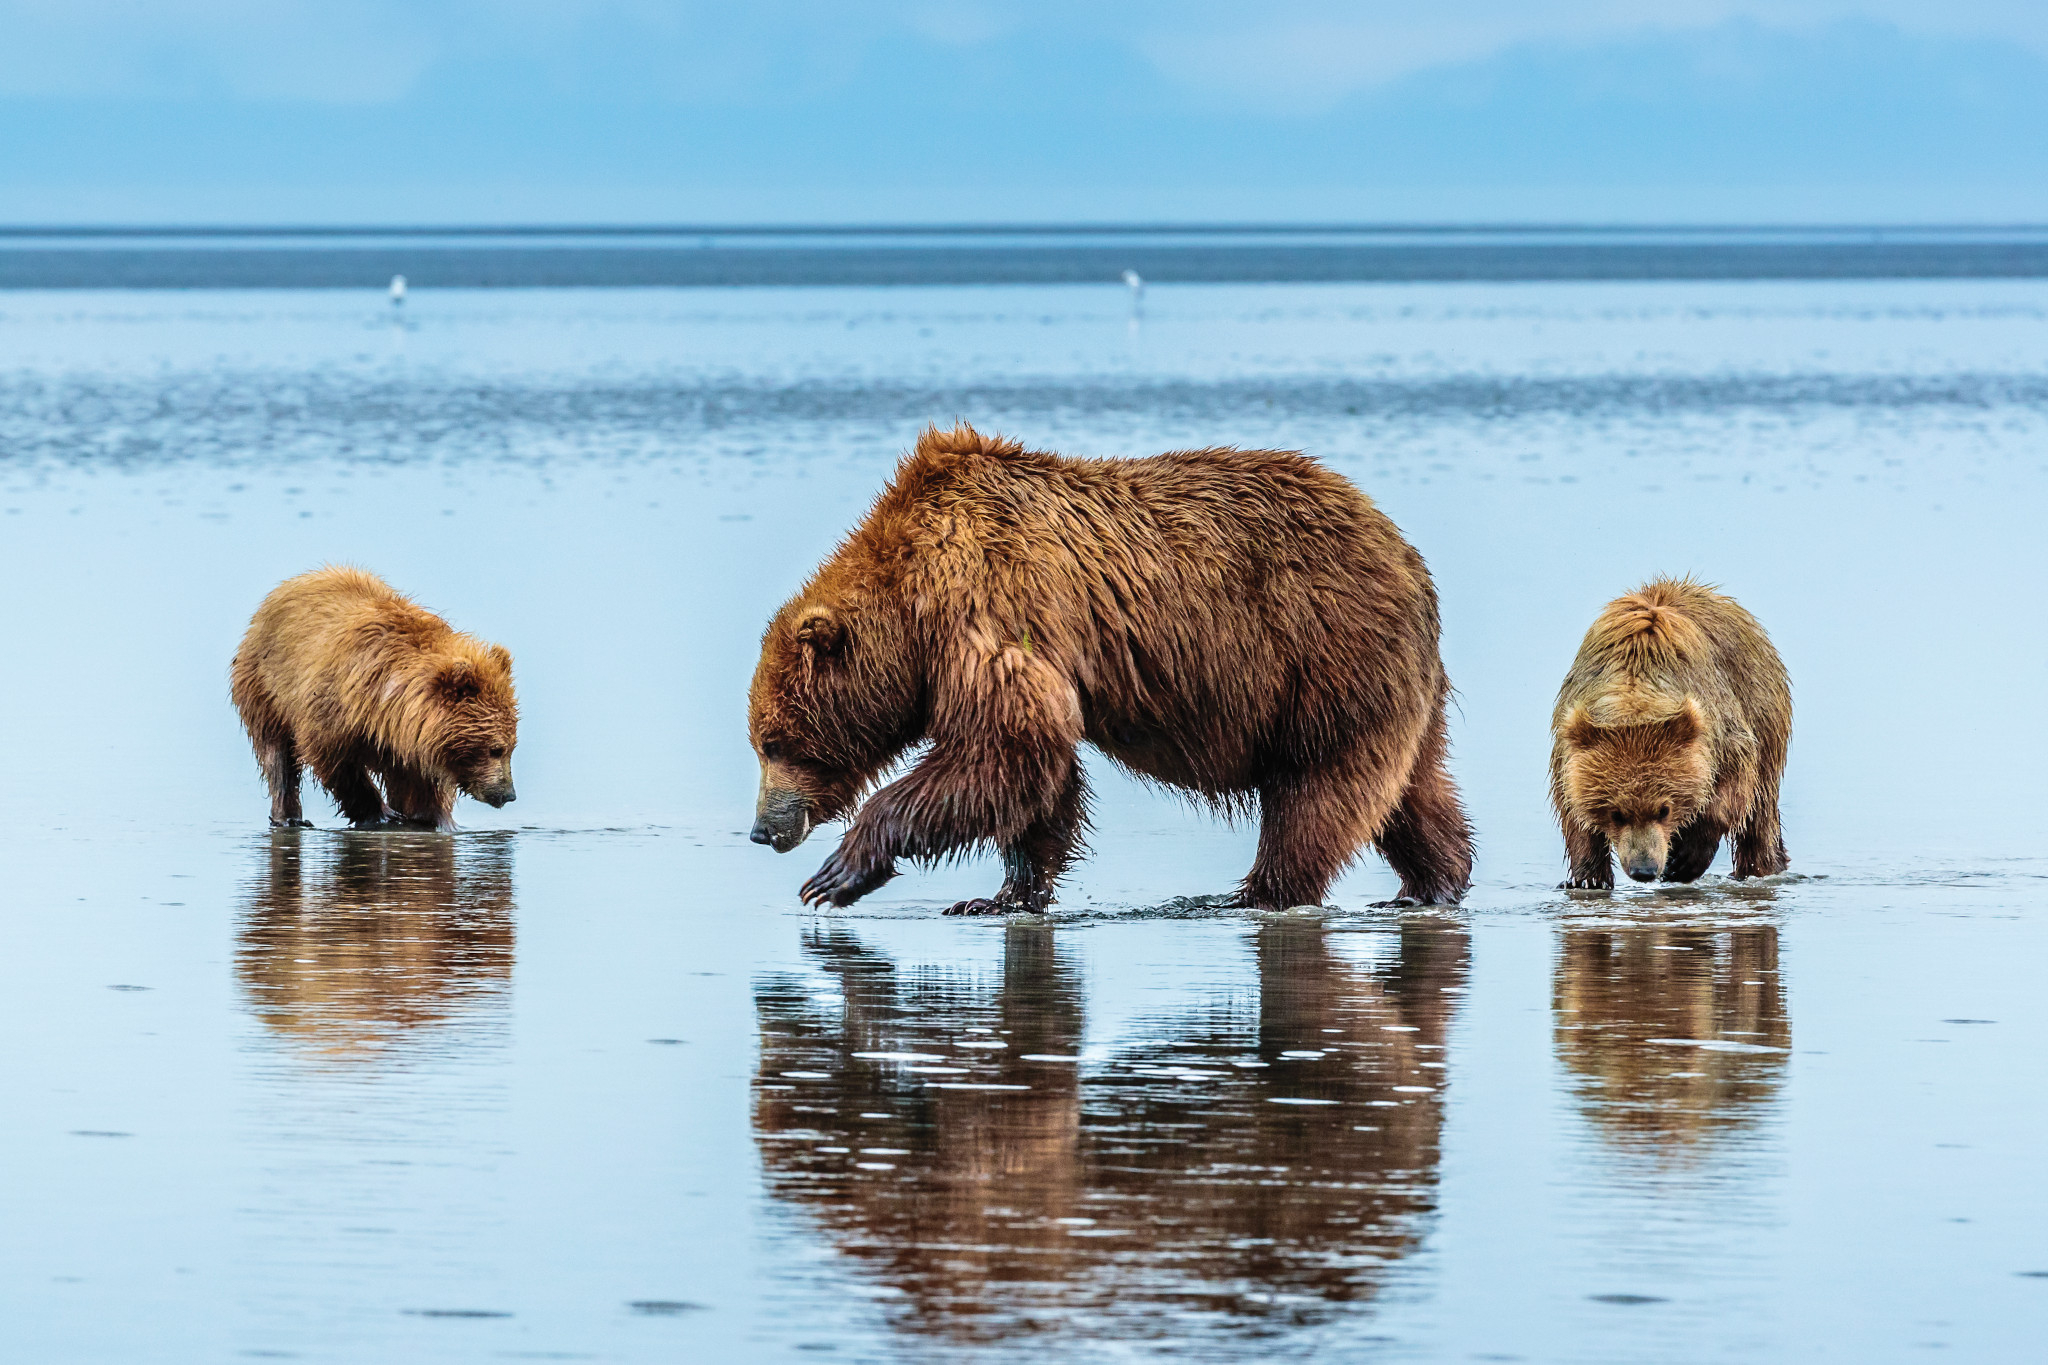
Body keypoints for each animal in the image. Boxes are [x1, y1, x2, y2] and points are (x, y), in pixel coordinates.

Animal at [231, 566, 518, 831]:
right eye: (495, 749)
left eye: (511, 747)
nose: (508, 794)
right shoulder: (335, 708)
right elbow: (334, 761)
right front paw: (382, 814)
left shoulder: (410, 744)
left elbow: (419, 786)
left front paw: (435, 819)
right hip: (265, 686)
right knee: (277, 756)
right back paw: (288, 816)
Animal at [746, 423, 1474, 914]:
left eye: (775, 743)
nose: (763, 829)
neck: (911, 607)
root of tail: (1405, 553)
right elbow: (1037, 773)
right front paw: (1001, 896)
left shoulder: (989, 607)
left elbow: (1004, 745)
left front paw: (835, 875)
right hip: (1391, 682)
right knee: (1413, 787)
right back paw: (1434, 881)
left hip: (1322, 655)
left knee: (1316, 789)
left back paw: (1258, 892)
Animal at [1550, 578, 1791, 889]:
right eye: (1616, 813)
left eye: (1664, 809)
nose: (1644, 869)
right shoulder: (1568, 740)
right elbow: (1572, 810)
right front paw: (1587, 878)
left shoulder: (1721, 730)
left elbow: (1731, 792)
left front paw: (1684, 860)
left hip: (1763, 708)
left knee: (1759, 815)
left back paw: (1762, 866)